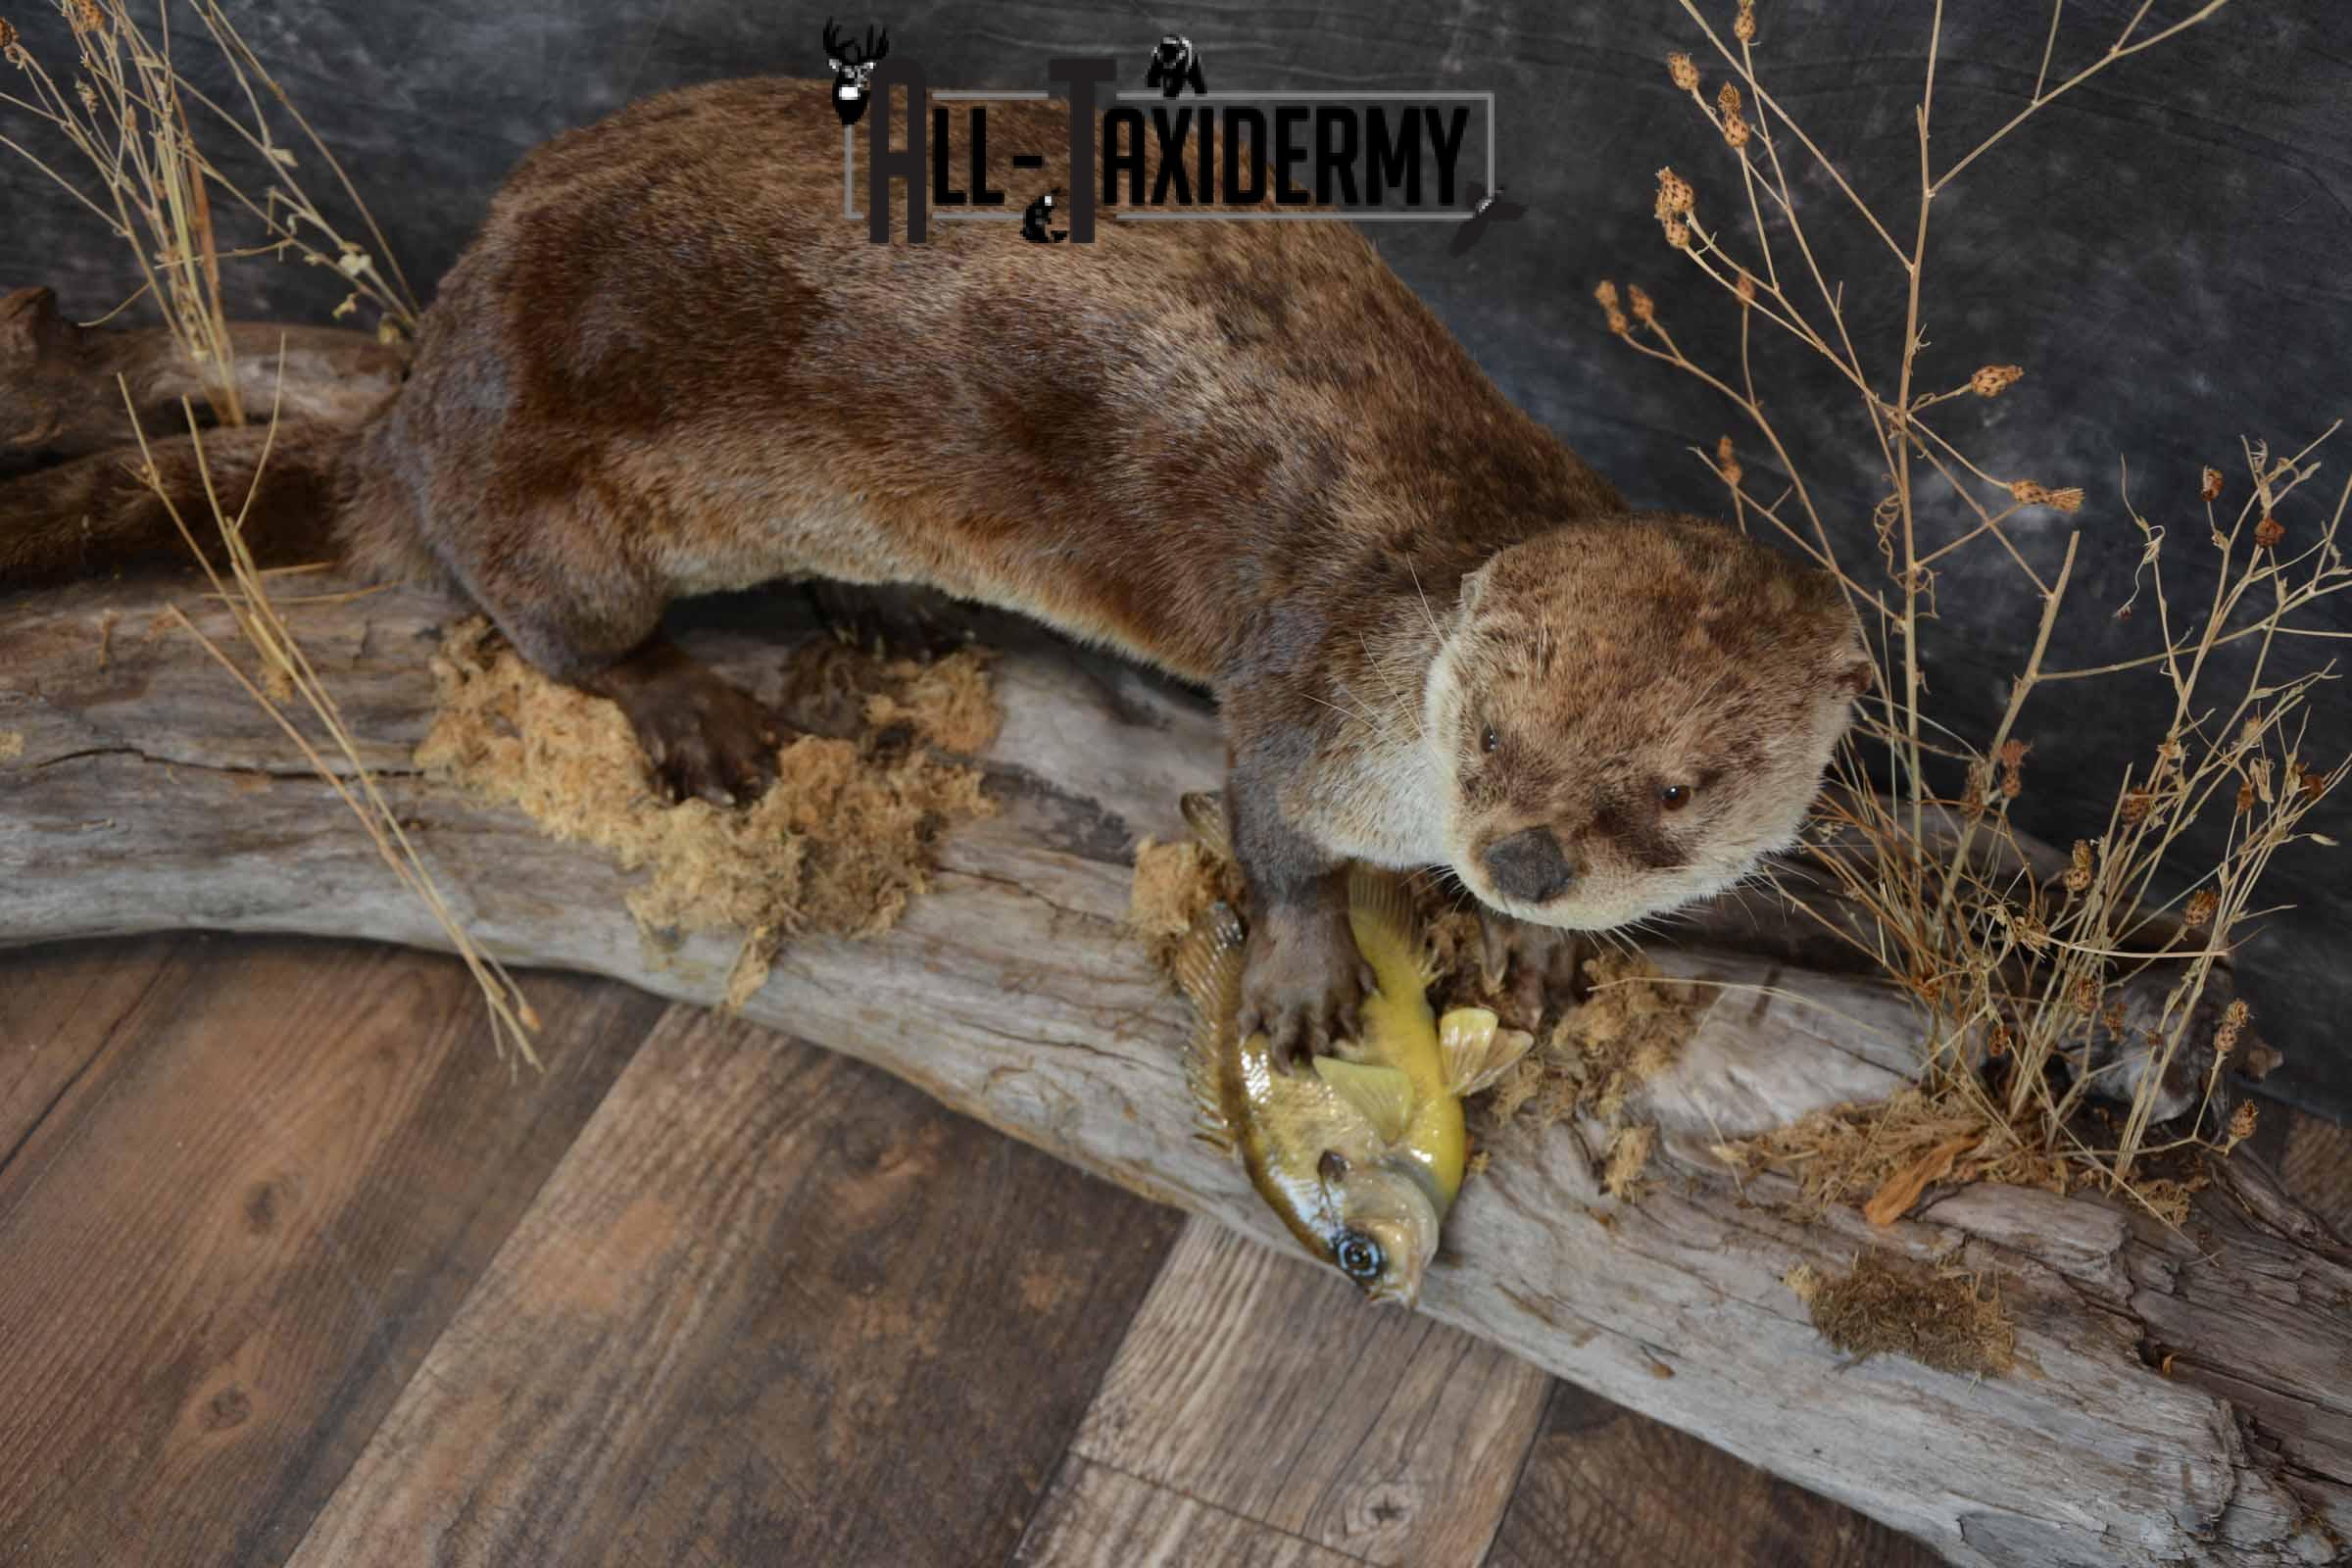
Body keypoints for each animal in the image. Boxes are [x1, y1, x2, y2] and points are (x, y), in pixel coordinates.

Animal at [0, 81, 1870, 1058]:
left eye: (1676, 787)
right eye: (1489, 731)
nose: (1528, 855)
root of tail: (419, 385)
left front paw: (1543, 955)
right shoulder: (1306, 686)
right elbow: (1272, 833)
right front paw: (1303, 977)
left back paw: (884, 604)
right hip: (543, 496)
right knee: (542, 622)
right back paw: (694, 709)